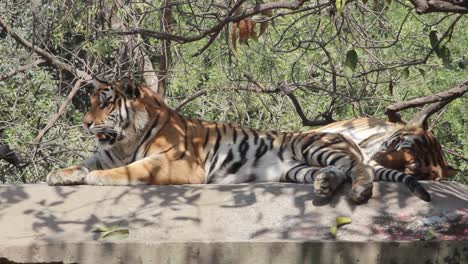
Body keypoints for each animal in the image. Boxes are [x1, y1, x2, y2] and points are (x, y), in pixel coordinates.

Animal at [46, 77, 432, 203]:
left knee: (355, 166)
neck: (125, 139)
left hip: (314, 145)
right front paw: (60, 173)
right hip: (296, 168)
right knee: (337, 171)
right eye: (91, 103)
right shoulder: (110, 152)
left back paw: (360, 189)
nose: (85, 123)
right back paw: (324, 186)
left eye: (105, 103)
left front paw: (95, 178)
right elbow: (85, 161)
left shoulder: (174, 163)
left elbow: (126, 171)